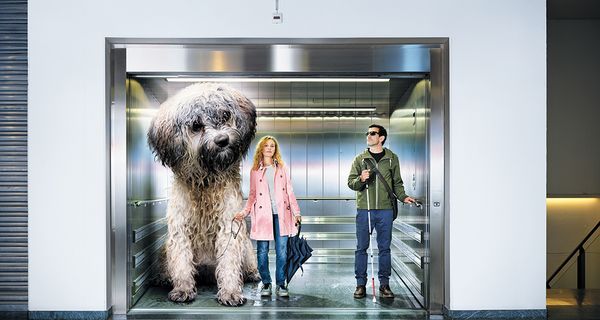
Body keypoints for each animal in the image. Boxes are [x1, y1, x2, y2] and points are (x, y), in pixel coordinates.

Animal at [148, 82, 260, 304]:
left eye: (225, 115)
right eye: (196, 125)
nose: (222, 140)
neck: (206, 180)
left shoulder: (228, 225)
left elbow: (229, 261)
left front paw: (231, 292)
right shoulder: (180, 228)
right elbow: (181, 262)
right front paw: (182, 289)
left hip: (247, 247)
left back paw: (253, 273)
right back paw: (163, 278)